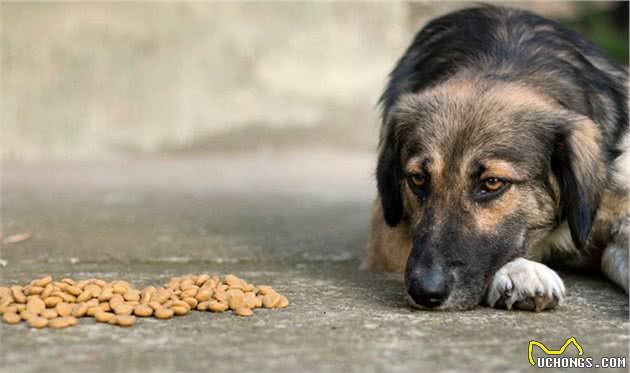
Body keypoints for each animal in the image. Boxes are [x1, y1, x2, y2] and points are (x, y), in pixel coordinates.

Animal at [362, 5, 628, 310]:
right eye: (417, 179)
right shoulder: (385, 233)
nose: (424, 291)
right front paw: (520, 269)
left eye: (492, 183)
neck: (504, 63)